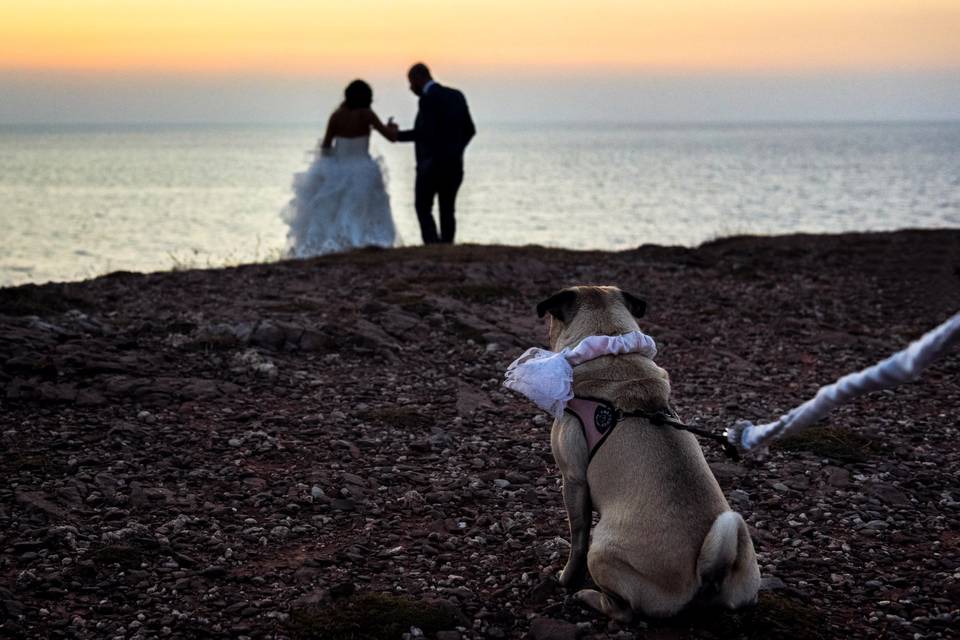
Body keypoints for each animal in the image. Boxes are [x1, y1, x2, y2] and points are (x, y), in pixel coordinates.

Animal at [540, 284, 756, 620]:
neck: (613, 348)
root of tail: (706, 575)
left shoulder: (573, 479)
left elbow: (577, 537)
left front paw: (567, 579)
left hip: (601, 552)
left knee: (623, 610)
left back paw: (588, 596)